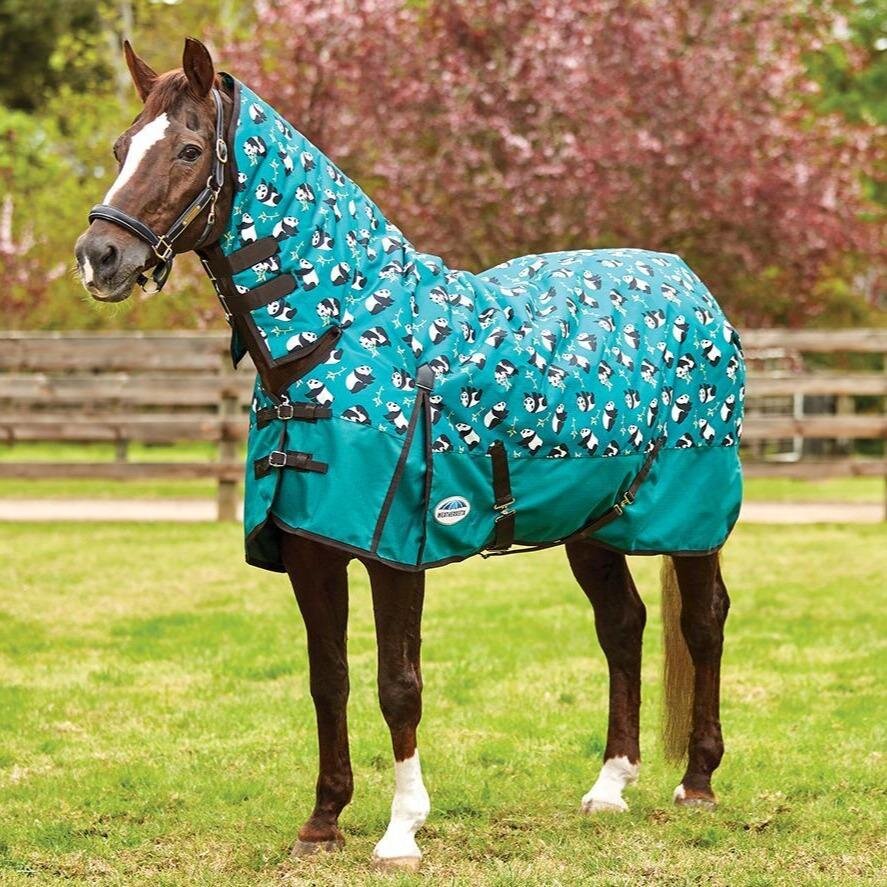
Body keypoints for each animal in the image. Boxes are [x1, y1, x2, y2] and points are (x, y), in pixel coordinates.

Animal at [75, 38, 740, 870]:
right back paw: (609, 786)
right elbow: (328, 677)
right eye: (120, 147)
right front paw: (322, 820)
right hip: (592, 522)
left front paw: (400, 831)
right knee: (622, 624)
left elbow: (399, 683)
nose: (98, 255)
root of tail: (688, 284)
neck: (337, 335)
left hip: (691, 518)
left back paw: (698, 782)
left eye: (189, 150)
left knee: (702, 622)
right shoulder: (310, 545)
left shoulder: (396, 549)